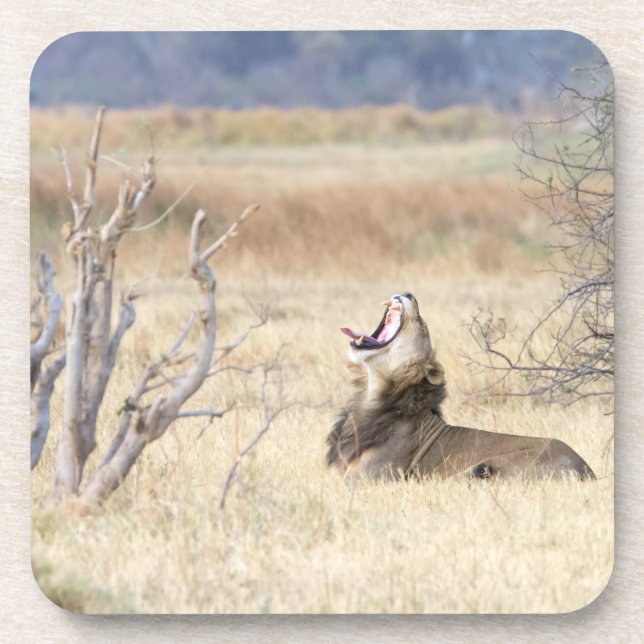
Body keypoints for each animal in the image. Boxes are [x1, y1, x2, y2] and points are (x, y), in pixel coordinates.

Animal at [327, 292, 596, 485]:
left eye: (422, 323)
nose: (408, 293)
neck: (371, 395)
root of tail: (587, 470)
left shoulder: (364, 480)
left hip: (482, 467)